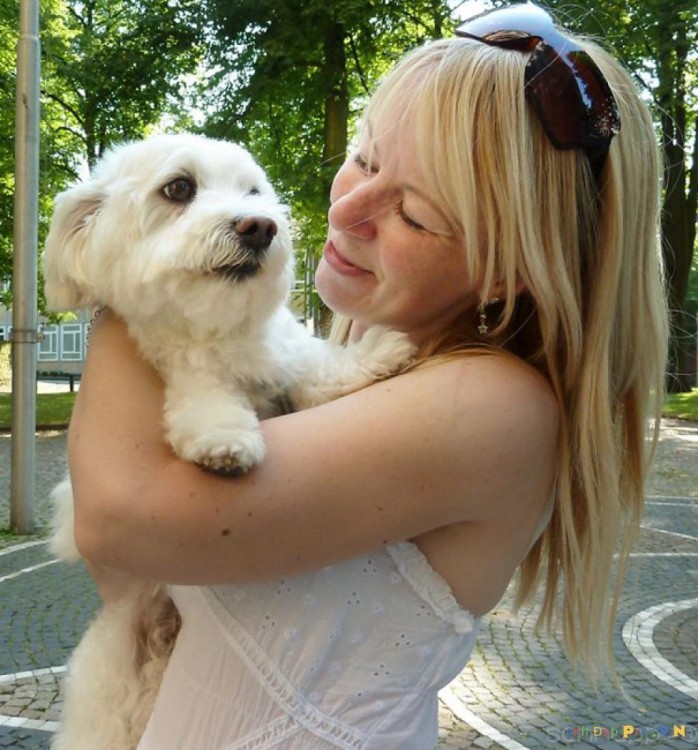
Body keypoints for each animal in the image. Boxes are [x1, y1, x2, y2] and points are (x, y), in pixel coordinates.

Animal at [42, 134, 414, 750]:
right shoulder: (181, 371)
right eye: (178, 188)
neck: (222, 336)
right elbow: (200, 393)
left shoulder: (289, 360)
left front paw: (377, 353)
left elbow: (316, 372)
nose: (260, 226)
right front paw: (222, 436)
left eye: (254, 191)